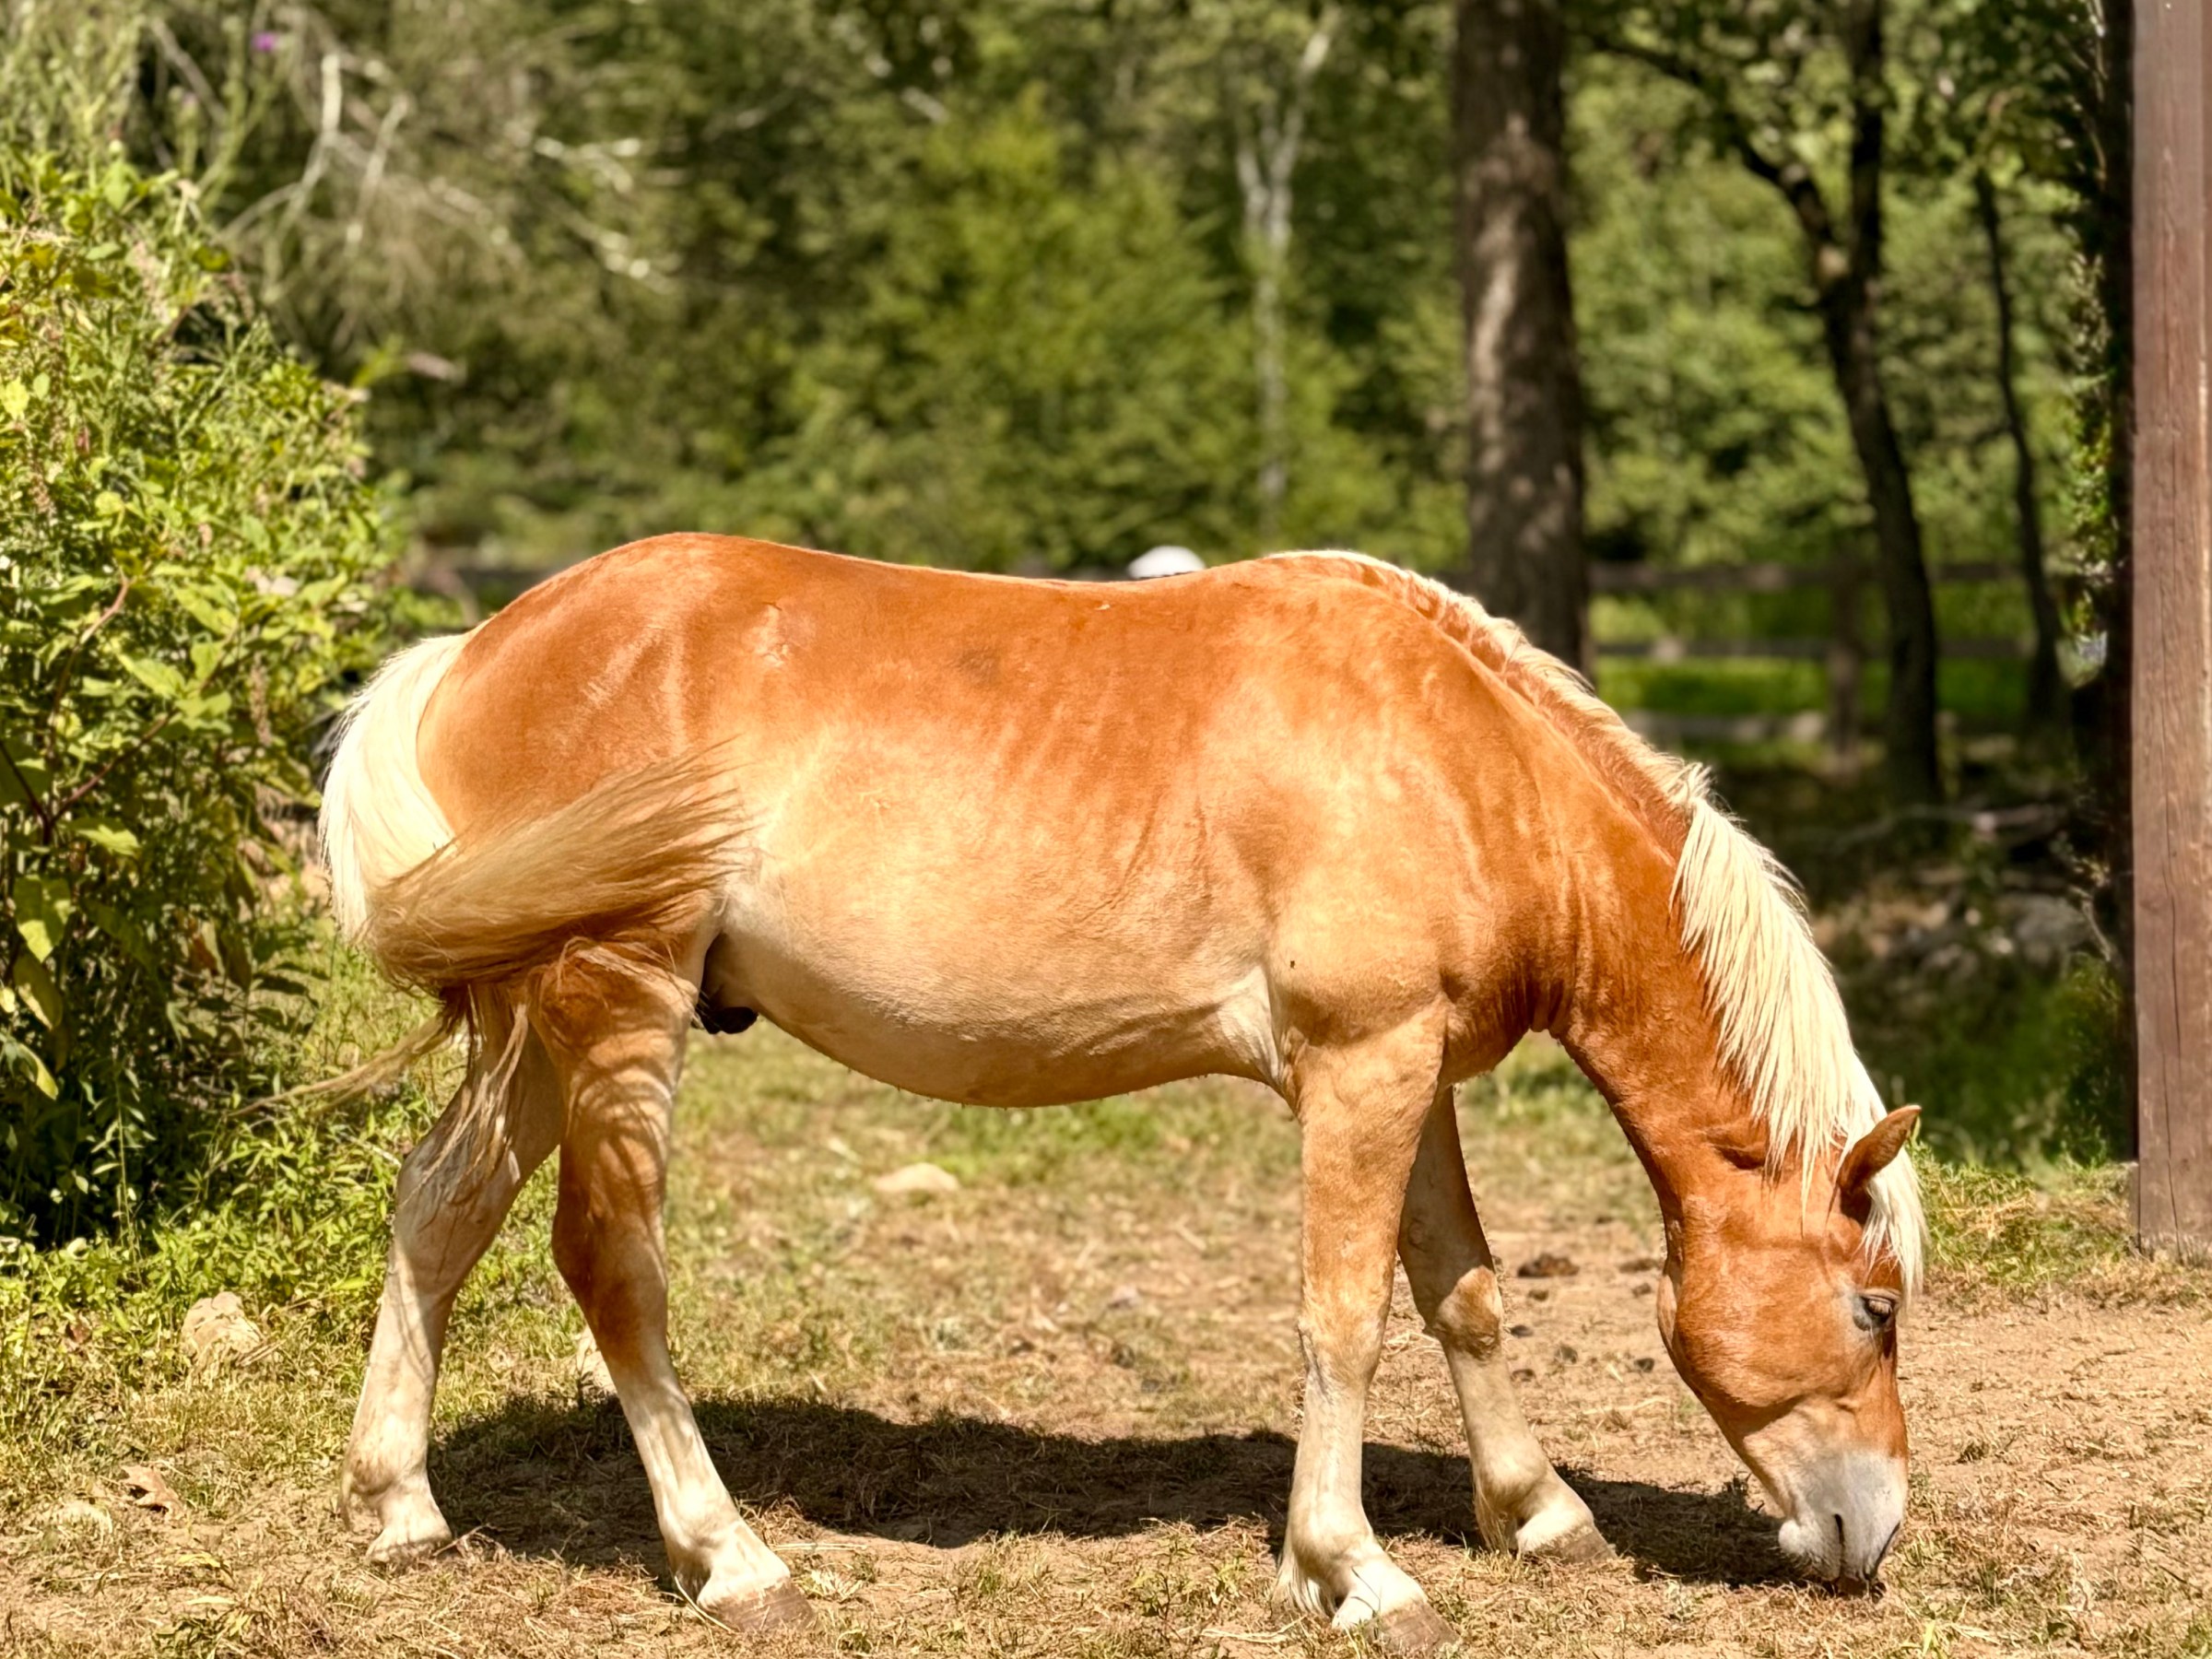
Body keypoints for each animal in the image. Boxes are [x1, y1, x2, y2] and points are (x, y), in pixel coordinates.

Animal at [320, 536, 1922, 1652]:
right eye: (1874, 1307)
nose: (1874, 1531)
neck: (1465, 766)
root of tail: (473, 650)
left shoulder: (1412, 1076)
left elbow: (1460, 1291)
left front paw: (1536, 1516)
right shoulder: (1361, 1068)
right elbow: (1346, 1316)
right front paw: (1355, 1574)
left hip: (532, 1024)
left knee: (438, 1211)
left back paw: (402, 1510)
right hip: (615, 1004)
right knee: (611, 1262)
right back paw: (731, 1560)